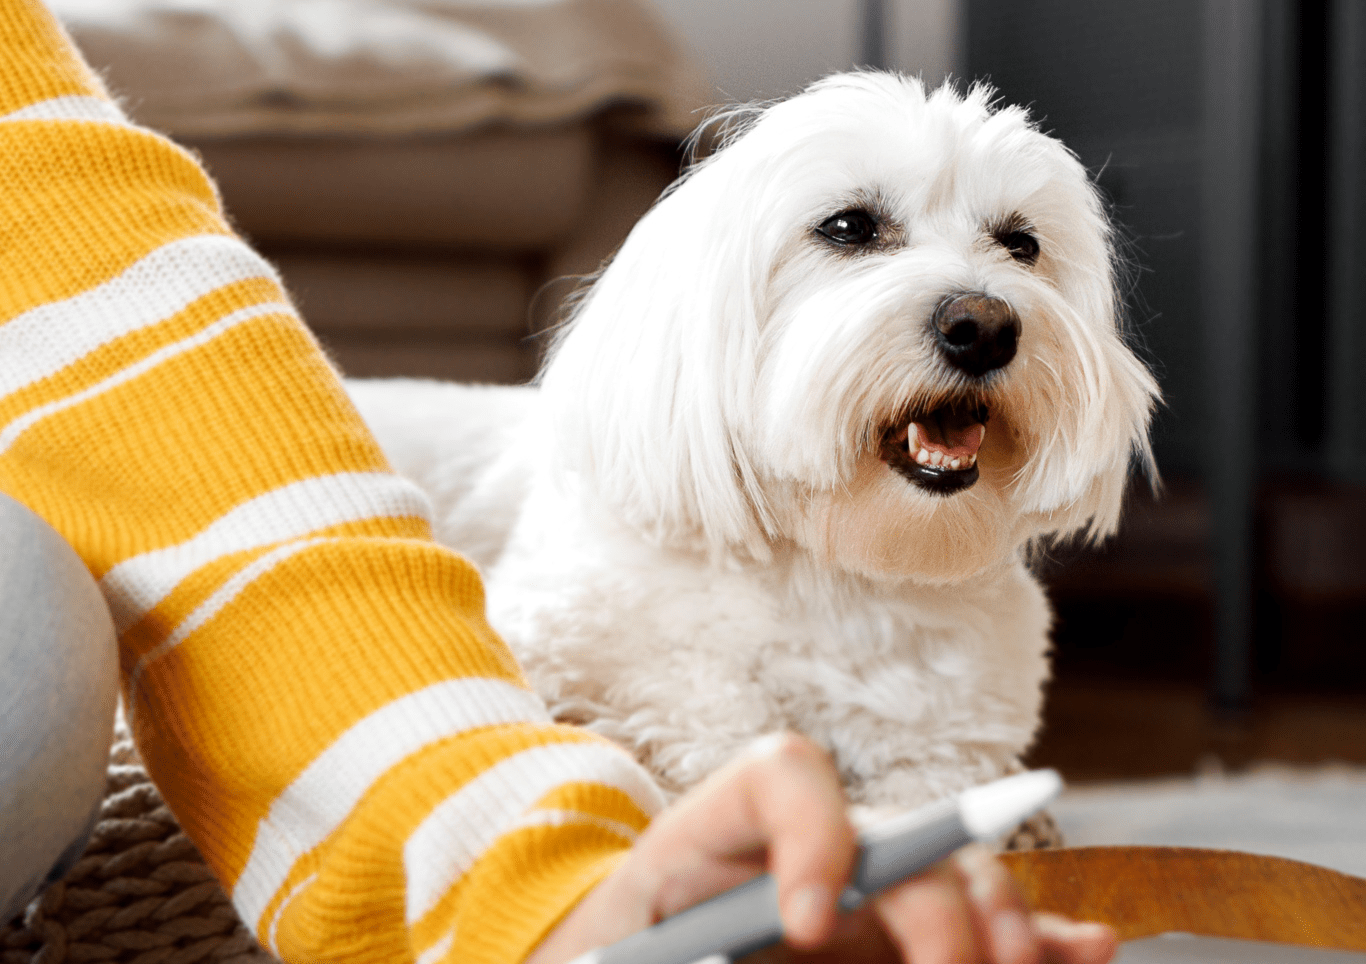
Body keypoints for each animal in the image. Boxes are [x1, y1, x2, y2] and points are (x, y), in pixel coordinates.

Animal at [346, 73, 1158, 808]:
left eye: (1021, 244)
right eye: (849, 227)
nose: (984, 326)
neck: (838, 576)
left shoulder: (952, 745)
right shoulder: (557, 632)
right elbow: (704, 713)